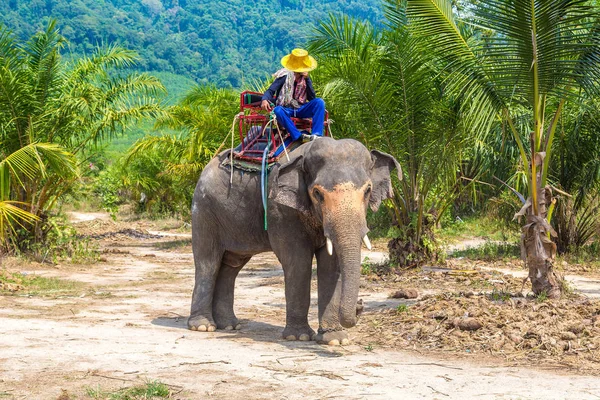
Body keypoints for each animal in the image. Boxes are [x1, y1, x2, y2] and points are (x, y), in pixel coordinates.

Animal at [188, 137, 400, 344]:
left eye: (367, 191)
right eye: (317, 194)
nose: (360, 305)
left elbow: (331, 265)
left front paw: (335, 339)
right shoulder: (280, 209)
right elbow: (298, 262)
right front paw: (299, 337)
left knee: (231, 265)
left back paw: (229, 326)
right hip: (204, 210)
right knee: (208, 263)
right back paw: (203, 326)